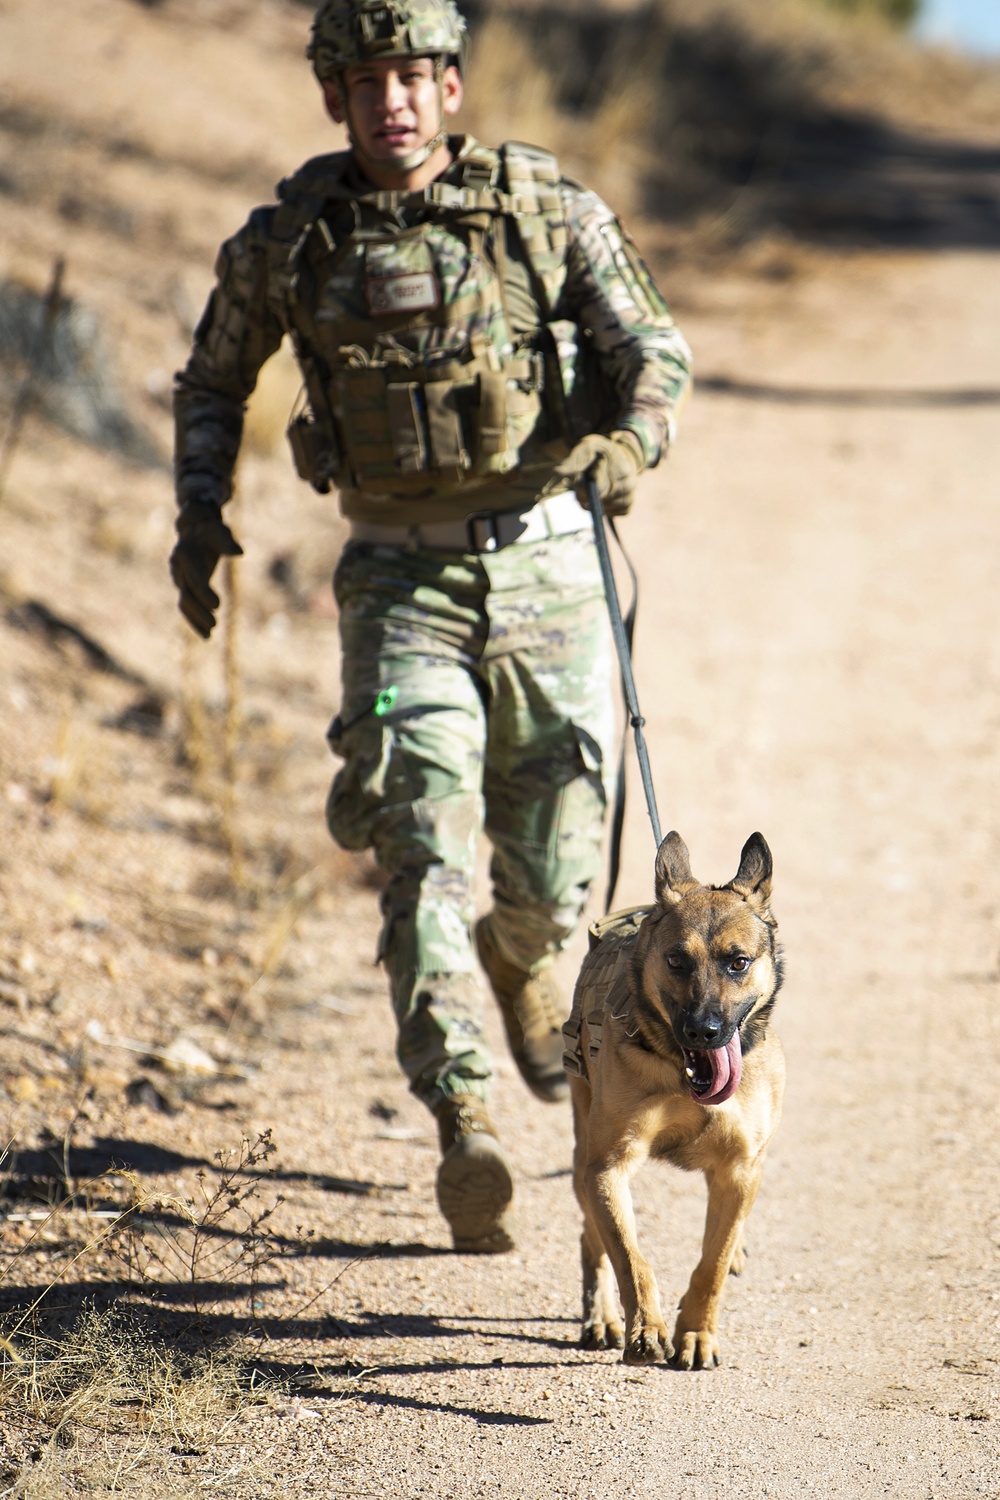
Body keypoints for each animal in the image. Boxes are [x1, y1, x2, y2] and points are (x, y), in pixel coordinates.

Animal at [563, 834, 779, 1374]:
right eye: (677, 961)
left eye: (738, 962)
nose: (703, 1030)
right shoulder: (606, 1166)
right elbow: (630, 1256)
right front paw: (647, 1330)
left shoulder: (740, 1169)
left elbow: (713, 1263)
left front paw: (697, 1334)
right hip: (581, 1153)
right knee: (591, 1238)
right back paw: (601, 1316)